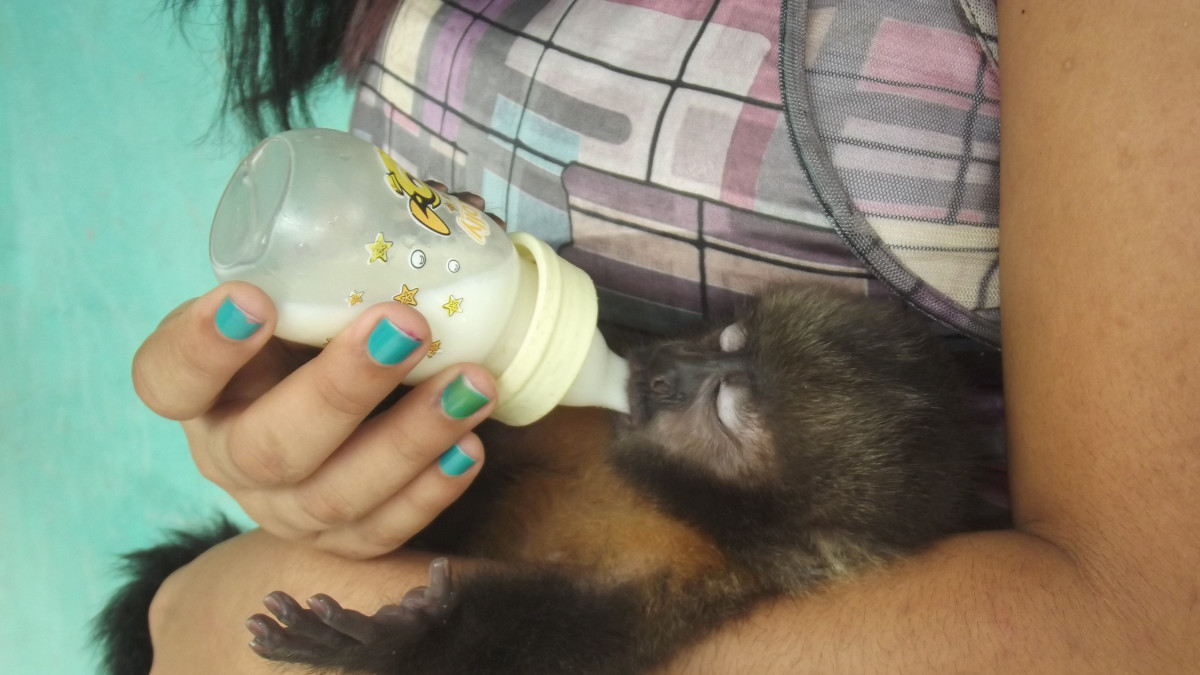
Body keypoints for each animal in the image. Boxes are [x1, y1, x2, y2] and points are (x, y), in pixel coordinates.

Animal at [94, 285, 999, 675]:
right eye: (725, 342)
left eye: (726, 409)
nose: (661, 373)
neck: (658, 489)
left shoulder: (701, 582)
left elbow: (560, 644)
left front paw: (399, 639)